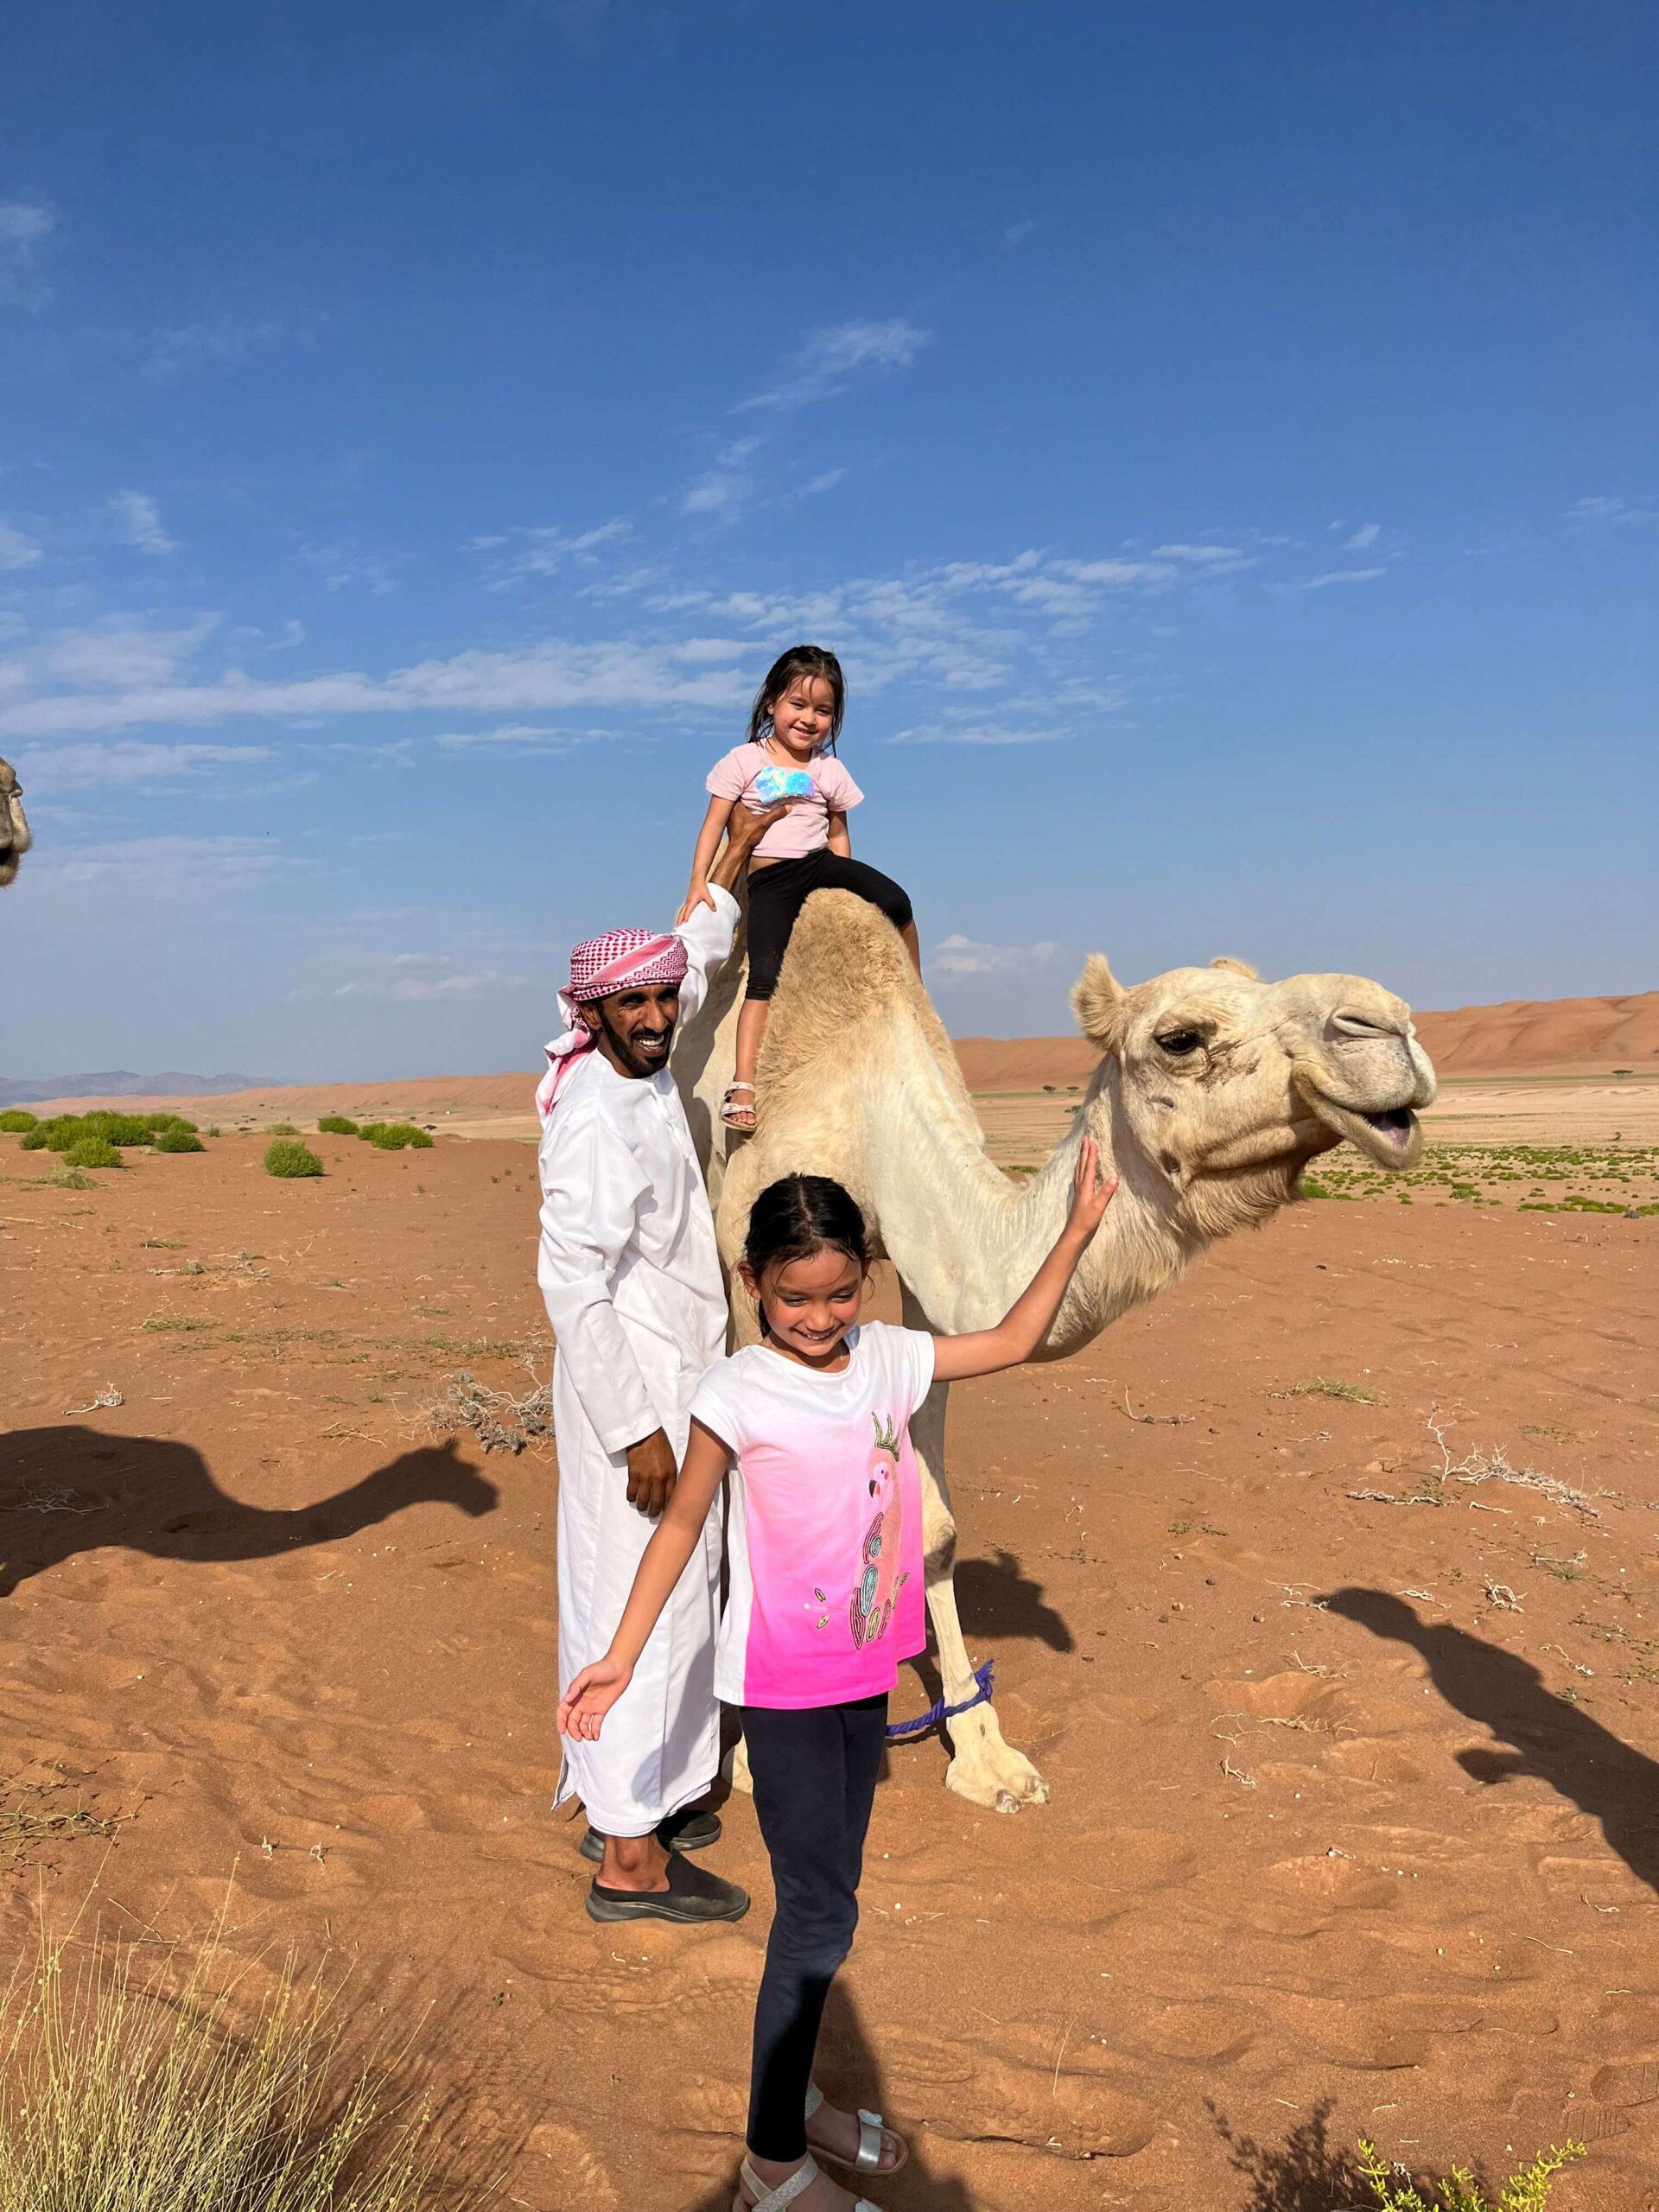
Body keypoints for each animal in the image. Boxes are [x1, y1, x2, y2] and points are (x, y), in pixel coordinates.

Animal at [674, 891, 1435, 1812]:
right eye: (1180, 1038)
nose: (1389, 1025)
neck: (865, 1094)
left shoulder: (935, 1290)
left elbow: (934, 1528)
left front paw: (983, 1753)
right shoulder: (750, 1251)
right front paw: (756, 1751)